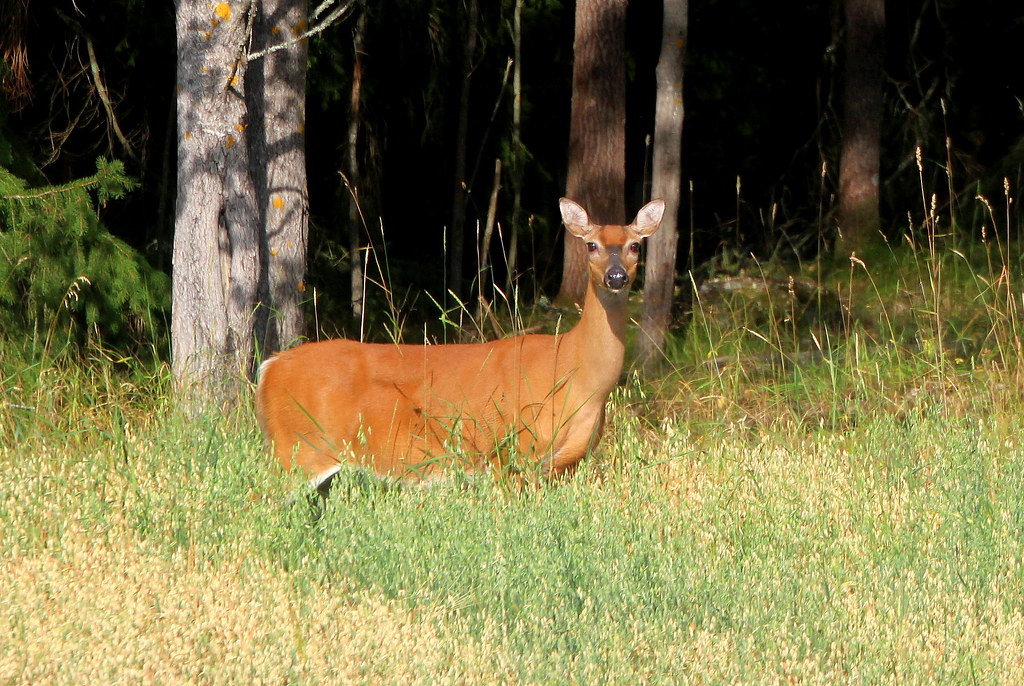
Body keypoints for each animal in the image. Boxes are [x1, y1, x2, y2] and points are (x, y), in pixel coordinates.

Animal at [255, 197, 665, 489]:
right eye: (591, 245)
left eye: (635, 246)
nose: (616, 277)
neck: (576, 373)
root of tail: (269, 367)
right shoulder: (510, 453)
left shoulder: (561, 466)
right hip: (297, 449)